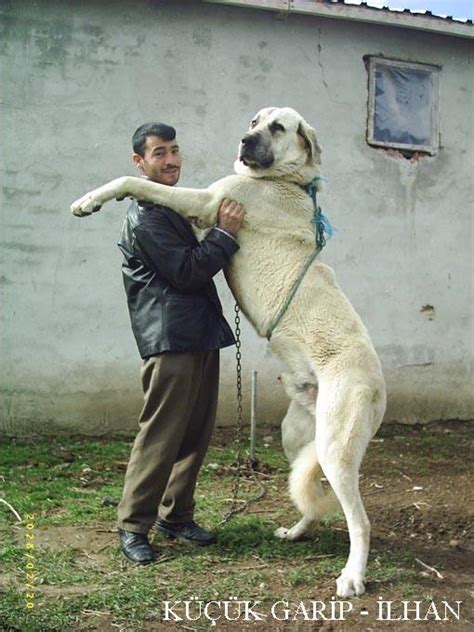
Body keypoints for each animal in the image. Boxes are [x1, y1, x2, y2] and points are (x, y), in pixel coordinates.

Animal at [72, 106, 386, 596]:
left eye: (278, 127)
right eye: (255, 119)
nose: (244, 140)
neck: (285, 179)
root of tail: (379, 385)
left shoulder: (207, 201)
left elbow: (139, 183)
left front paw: (90, 200)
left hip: (336, 446)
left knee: (360, 520)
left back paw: (353, 576)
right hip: (298, 437)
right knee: (313, 496)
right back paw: (296, 532)